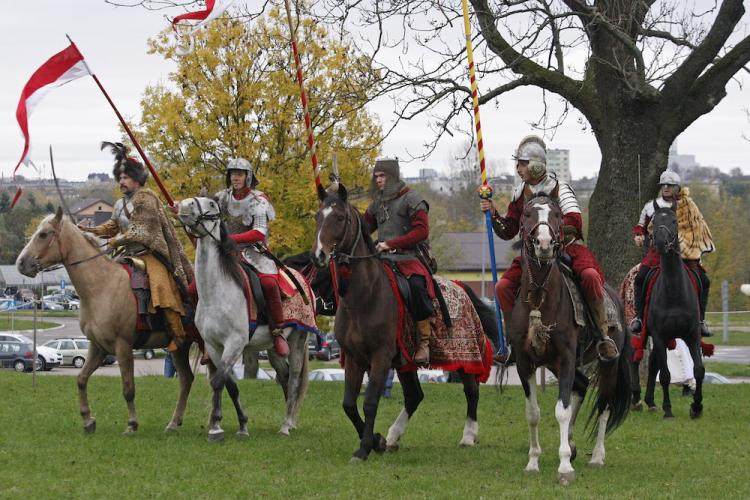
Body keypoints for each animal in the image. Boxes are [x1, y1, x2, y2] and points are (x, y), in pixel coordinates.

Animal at [16, 207, 197, 434]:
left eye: (43, 234)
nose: (21, 263)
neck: (101, 287)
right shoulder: (98, 346)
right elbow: (81, 379)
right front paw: (88, 420)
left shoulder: (123, 346)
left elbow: (128, 388)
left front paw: (131, 424)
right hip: (179, 347)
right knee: (187, 379)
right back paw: (174, 423)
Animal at [178, 197, 310, 440]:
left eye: (211, 204)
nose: (183, 204)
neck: (216, 292)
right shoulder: (213, 346)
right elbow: (229, 385)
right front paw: (241, 425)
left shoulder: (235, 342)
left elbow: (218, 381)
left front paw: (216, 428)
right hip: (272, 348)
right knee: (284, 376)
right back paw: (288, 421)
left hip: (298, 339)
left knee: (294, 378)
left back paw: (286, 425)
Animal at [312, 183, 500, 460]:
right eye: (318, 216)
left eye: (339, 218)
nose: (319, 256)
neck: (364, 296)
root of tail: (460, 287)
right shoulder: (355, 358)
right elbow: (348, 404)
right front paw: (376, 440)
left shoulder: (380, 356)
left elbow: (369, 402)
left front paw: (365, 448)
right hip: (405, 363)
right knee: (414, 396)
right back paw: (392, 437)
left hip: (464, 357)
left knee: (471, 390)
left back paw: (468, 436)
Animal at [512, 195, 636, 484]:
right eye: (527, 214)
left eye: (557, 214)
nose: (544, 244)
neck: (540, 298)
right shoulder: (525, 363)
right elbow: (533, 413)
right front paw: (533, 462)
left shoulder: (567, 359)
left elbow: (562, 410)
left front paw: (565, 467)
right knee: (581, 386)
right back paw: (571, 442)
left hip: (608, 364)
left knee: (604, 405)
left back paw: (597, 456)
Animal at [640, 203, 704, 418]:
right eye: (654, 221)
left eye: (674, 221)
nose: (660, 243)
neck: (674, 292)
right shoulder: (660, 335)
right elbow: (666, 375)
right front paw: (668, 410)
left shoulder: (692, 335)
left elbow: (699, 369)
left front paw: (697, 406)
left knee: (653, 362)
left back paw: (650, 402)